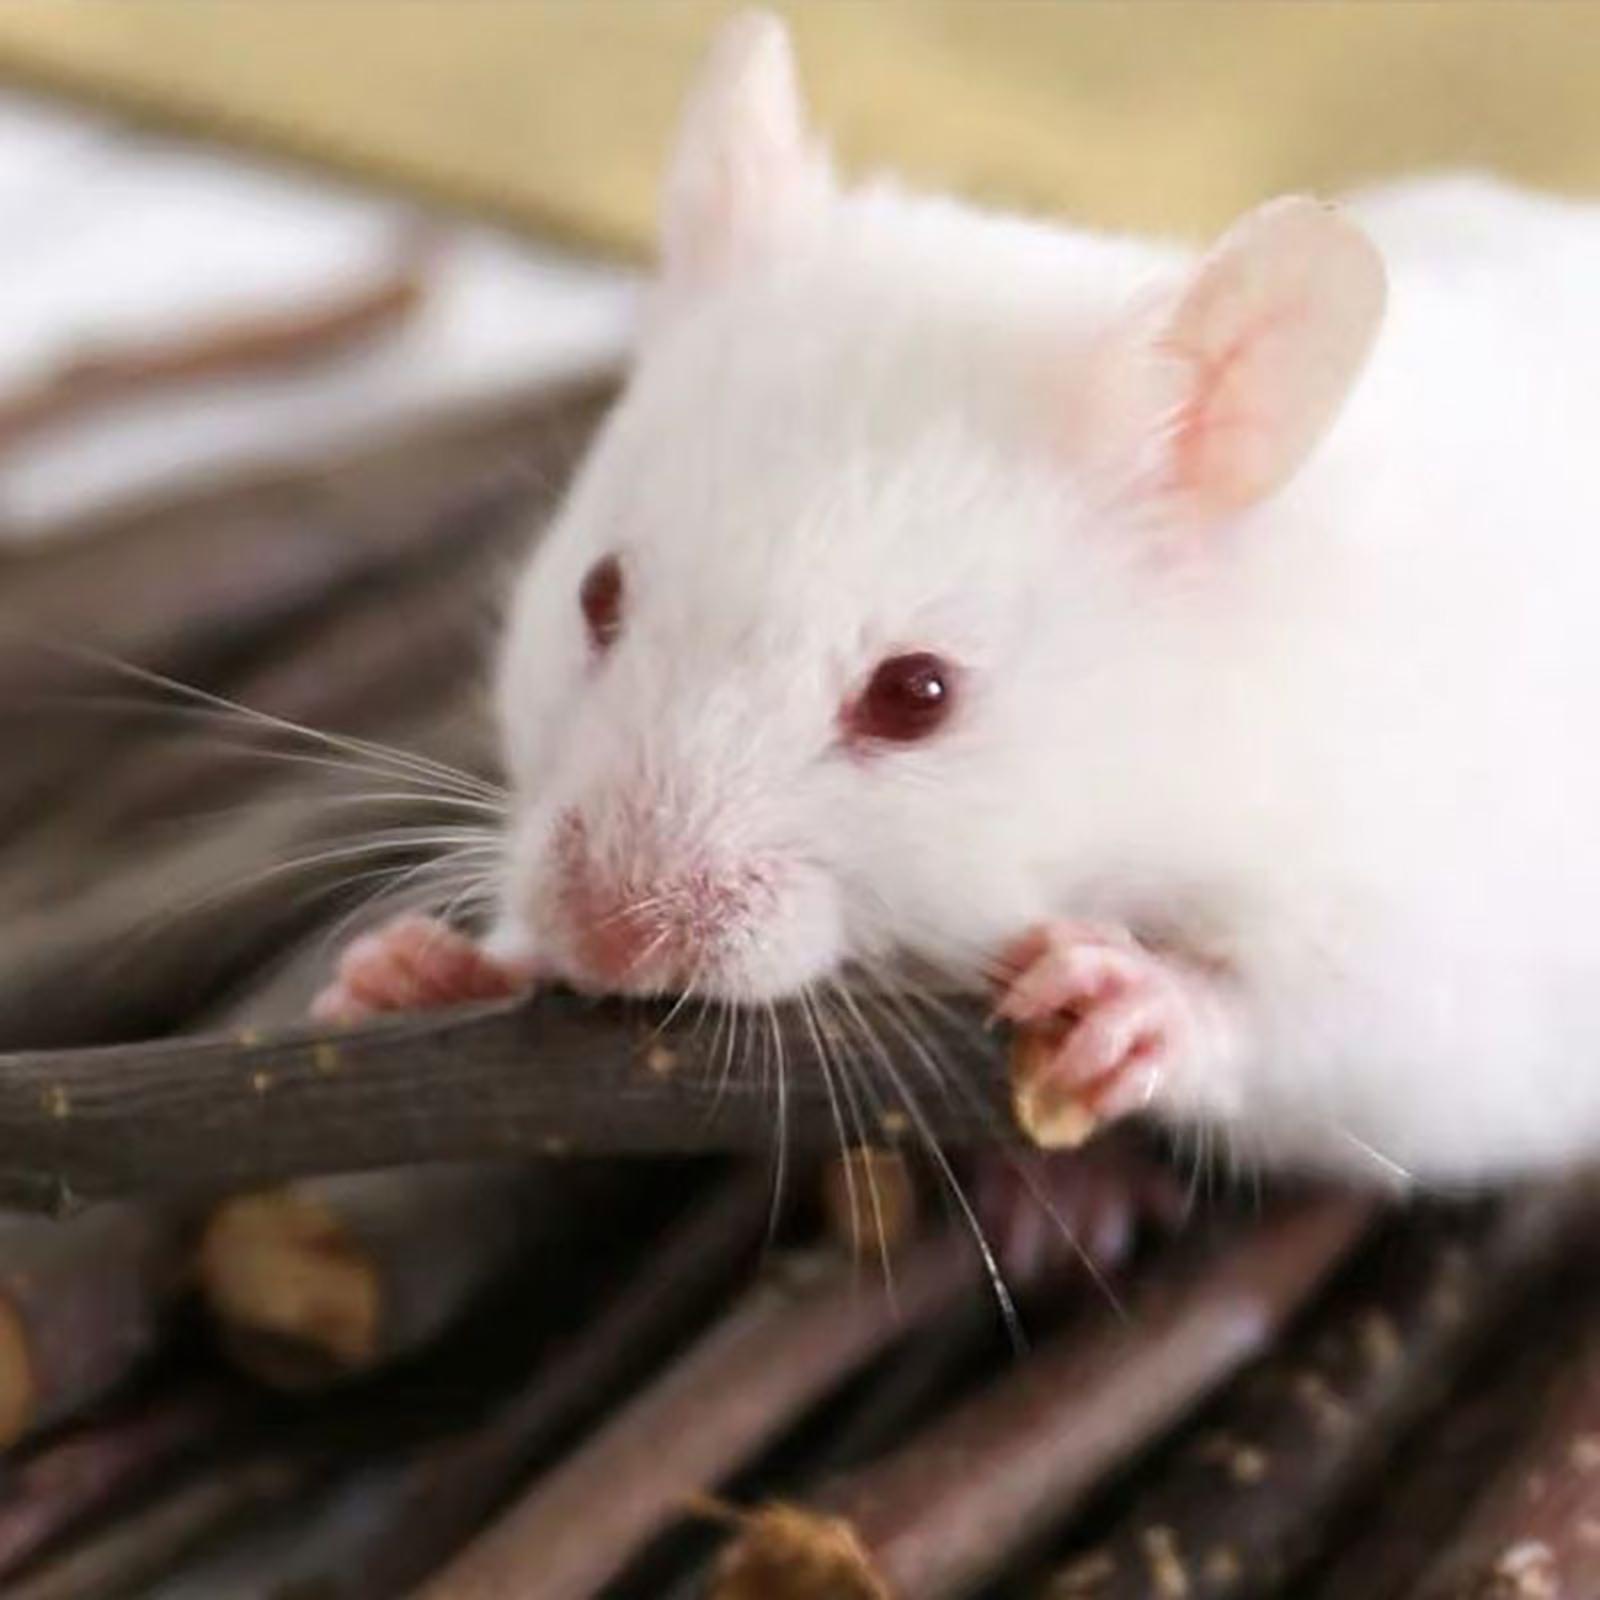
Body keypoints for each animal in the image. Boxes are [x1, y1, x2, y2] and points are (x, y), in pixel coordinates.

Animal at [317, 11, 1600, 1192]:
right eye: (596, 593)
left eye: (917, 695)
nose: (608, 935)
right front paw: (404, 970)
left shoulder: (1435, 963)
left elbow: (1309, 1027)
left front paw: (1116, 995)